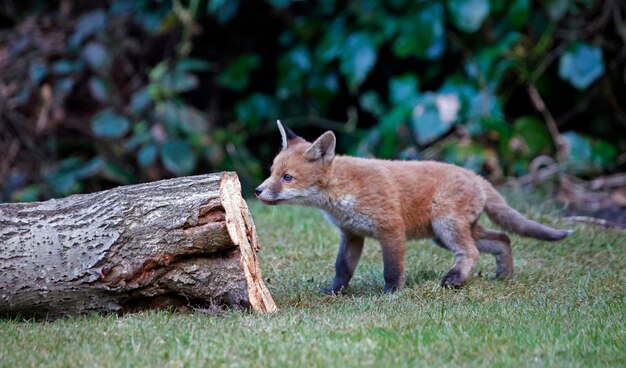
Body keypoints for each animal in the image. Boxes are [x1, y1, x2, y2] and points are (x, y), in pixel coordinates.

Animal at [254, 121, 572, 294]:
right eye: (272, 172)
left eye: (287, 177)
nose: (257, 191)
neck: (342, 191)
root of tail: (478, 177)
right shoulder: (352, 233)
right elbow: (342, 268)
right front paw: (334, 292)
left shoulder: (391, 228)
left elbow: (392, 269)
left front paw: (391, 294)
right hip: (444, 234)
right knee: (502, 238)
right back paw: (504, 276)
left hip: (446, 226)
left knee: (472, 252)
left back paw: (455, 279)